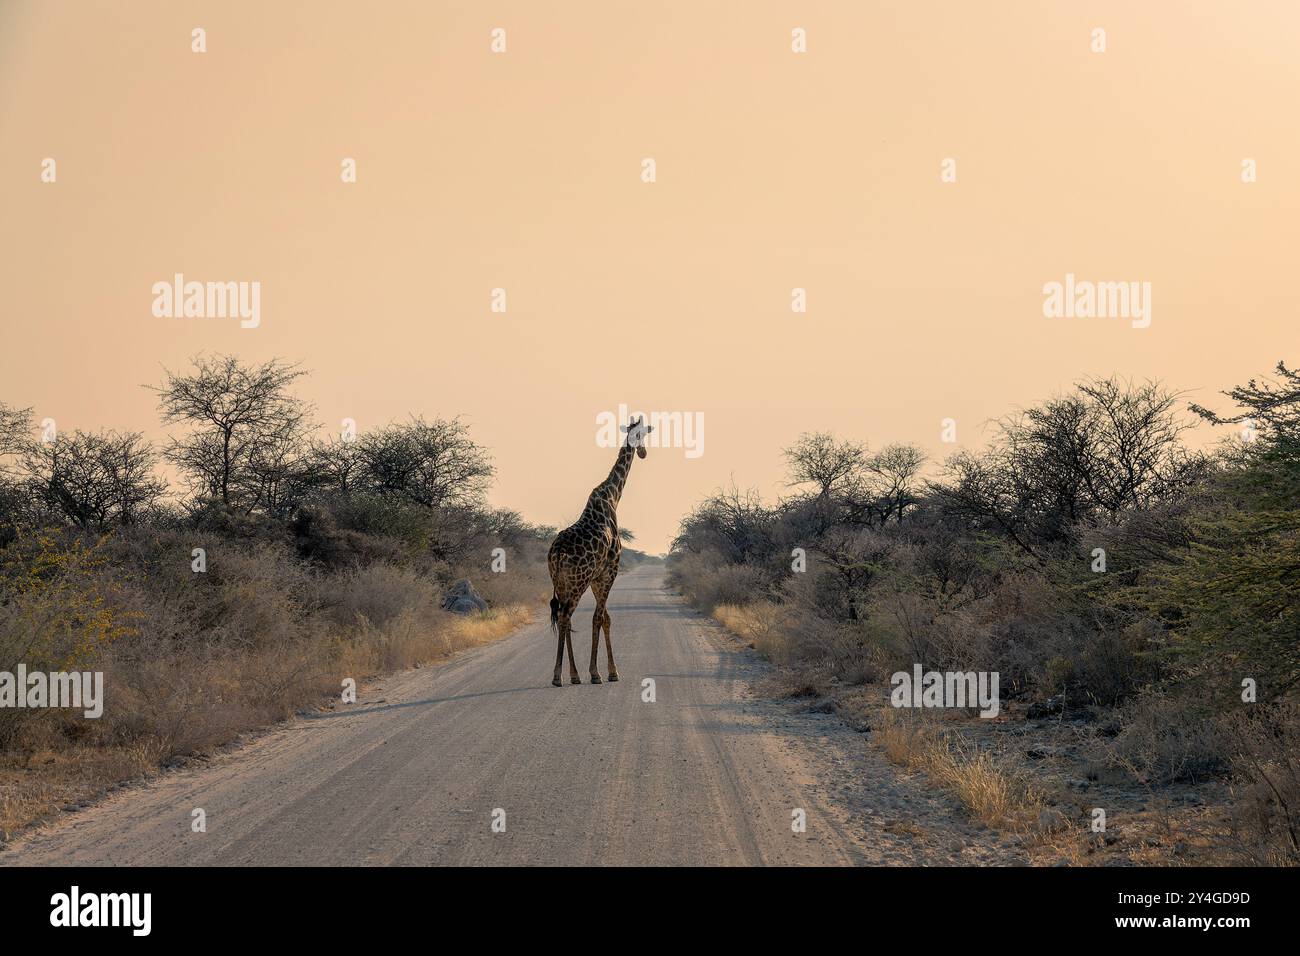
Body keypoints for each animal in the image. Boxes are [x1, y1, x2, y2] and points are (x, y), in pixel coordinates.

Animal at [546, 418, 655, 686]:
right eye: (640, 434)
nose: (643, 453)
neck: (613, 496)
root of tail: (557, 553)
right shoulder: (609, 570)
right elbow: (599, 617)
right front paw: (600, 672)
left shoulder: (597, 577)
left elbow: (605, 617)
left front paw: (608, 671)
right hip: (578, 581)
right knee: (566, 616)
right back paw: (560, 675)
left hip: (561, 582)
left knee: (564, 617)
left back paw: (572, 675)